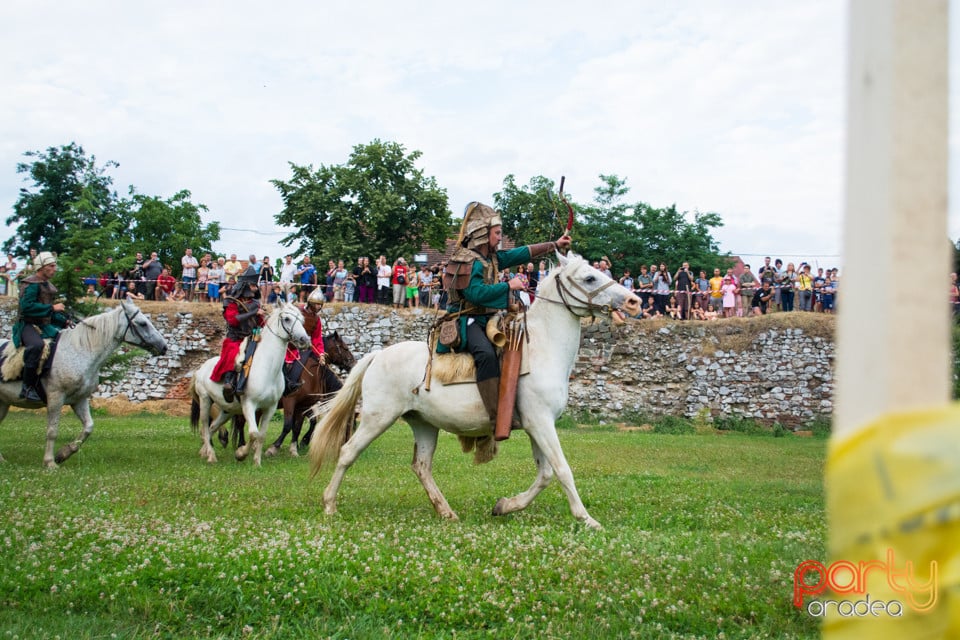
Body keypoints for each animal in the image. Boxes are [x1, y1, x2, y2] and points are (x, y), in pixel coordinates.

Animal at [0, 298, 168, 468]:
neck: (80, 350)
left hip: (3, 403)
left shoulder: (79, 400)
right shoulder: (56, 398)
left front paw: (64, 453)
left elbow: (89, 427)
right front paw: (50, 462)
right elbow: (52, 431)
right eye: (142, 323)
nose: (163, 346)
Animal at [193, 302, 314, 468]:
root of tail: (200, 369)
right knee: (205, 426)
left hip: (227, 410)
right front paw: (241, 454)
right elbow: (253, 433)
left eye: (302, 320)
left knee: (211, 428)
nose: (304, 340)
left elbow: (261, 435)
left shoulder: (270, 407)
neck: (267, 369)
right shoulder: (249, 405)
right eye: (287, 319)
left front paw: (257, 462)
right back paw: (211, 456)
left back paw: (204, 451)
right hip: (205, 401)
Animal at [308, 252, 636, 528]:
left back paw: (446, 511)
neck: (541, 349)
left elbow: (545, 474)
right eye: (590, 278)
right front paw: (586, 518)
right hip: (377, 418)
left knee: (421, 466)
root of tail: (377, 355)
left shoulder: (537, 425)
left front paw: (505, 505)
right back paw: (329, 504)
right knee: (348, 452)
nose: (633, 301)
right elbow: (562, 469)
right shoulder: (541, 423)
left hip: (423, 425)